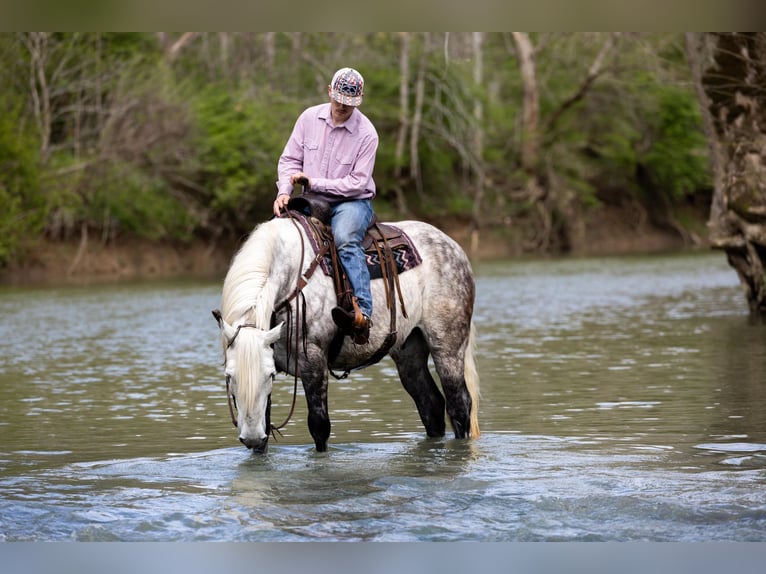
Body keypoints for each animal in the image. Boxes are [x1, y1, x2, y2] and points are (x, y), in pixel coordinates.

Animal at [213, 216, 484, 454]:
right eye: (228, 376)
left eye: (270, 375)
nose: (251, 438)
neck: (291, 282)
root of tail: (453, 246)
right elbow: (266, 429)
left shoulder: (313, 362)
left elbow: (319, 426)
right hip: (409, 351)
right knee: (431, 406)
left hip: (447, 346)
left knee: (460, 405)